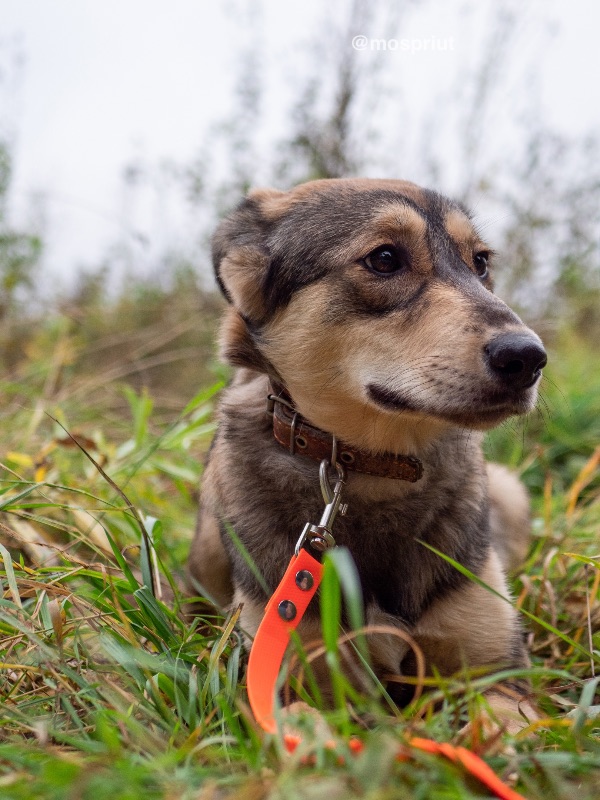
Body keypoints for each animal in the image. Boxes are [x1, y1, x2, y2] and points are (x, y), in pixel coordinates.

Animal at [189, 178, 548, 728]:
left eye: (481, 263)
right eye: (384, 259)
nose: (528, 357)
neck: (375, 468)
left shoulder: (498, 675)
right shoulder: (284, 675)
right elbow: (309, 725)